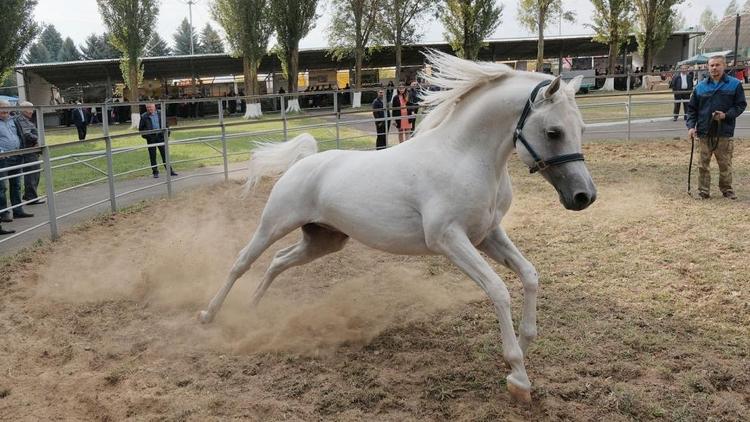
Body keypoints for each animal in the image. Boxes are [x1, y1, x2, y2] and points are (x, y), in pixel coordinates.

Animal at [200, 52, 600, 402]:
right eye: (554, 132)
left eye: (581, 128)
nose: (584, 196)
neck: (464, 156)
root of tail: (304, 161)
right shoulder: (449, 239)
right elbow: (499, 290)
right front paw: (517, 376)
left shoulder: (487, 235)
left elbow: (530, 275)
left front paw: (526, 341)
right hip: (275, 223)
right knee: (243, 262)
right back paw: (209, 315)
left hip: (323, 240)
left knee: (278, 262)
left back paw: (254, 310)